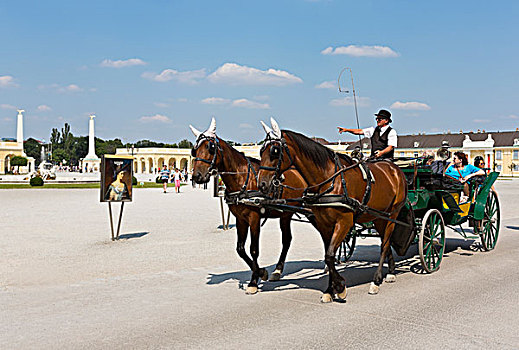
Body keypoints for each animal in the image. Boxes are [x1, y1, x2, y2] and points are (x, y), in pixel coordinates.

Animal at [191, 118, 312, 296]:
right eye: (195, 150)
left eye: (210, 147)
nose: (197, 176)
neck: (242, 179)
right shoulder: (240, 219)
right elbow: (240, 249)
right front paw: (261, 272)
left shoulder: (254, 218)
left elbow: (254, 249)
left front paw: (254, 281)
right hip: (285, 215)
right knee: (287, 240)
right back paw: (277, 270)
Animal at [258, 119, 408, 302]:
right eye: (261, 151)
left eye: (275, 151)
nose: (262, 184)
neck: (329, 179)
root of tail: (395, 169)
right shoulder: (324, 224)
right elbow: (328, 256)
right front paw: (330, 289)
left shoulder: (344, 222)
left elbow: (330, 255)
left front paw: (340, 287)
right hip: (379, 217)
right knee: (385, 242)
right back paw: (391, 272)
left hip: (392, 214)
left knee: (385, 244)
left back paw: (377, 280)